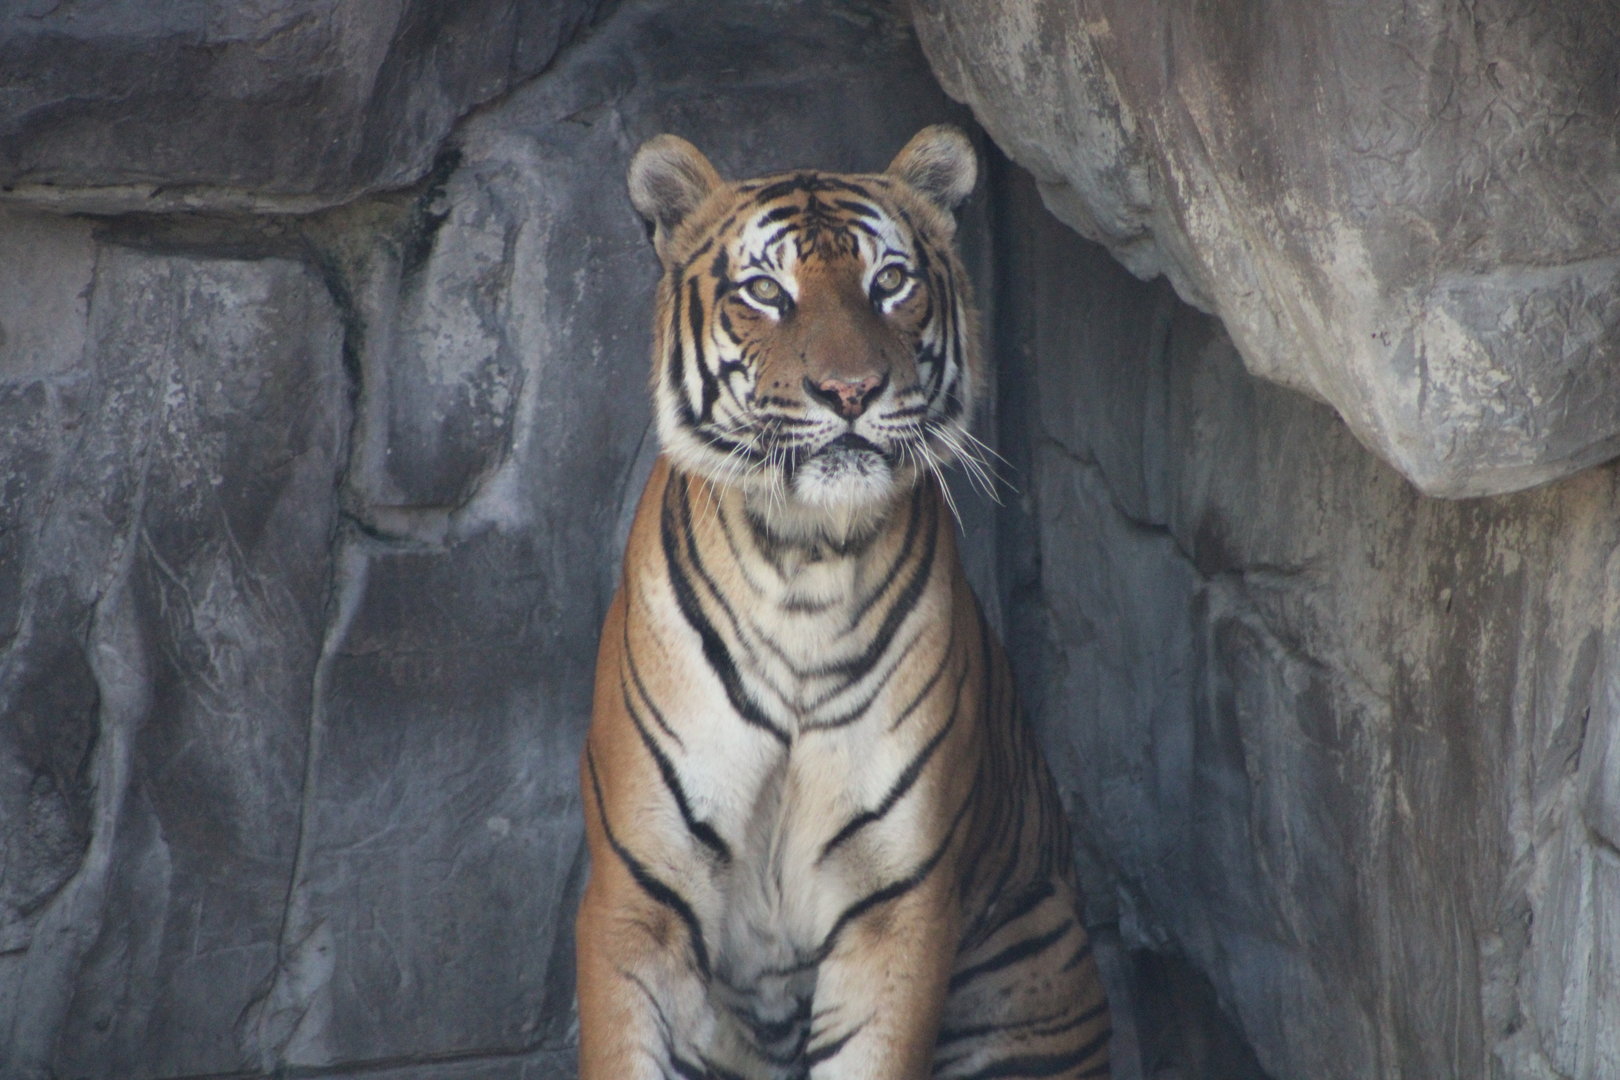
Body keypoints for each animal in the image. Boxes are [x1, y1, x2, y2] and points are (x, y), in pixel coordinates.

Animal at [576, 125, 1111, 1080]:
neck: (804, 561)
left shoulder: (897, 902)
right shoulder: (638, 899)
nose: (852, 392)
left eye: (888, 282)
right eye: (766, 291)